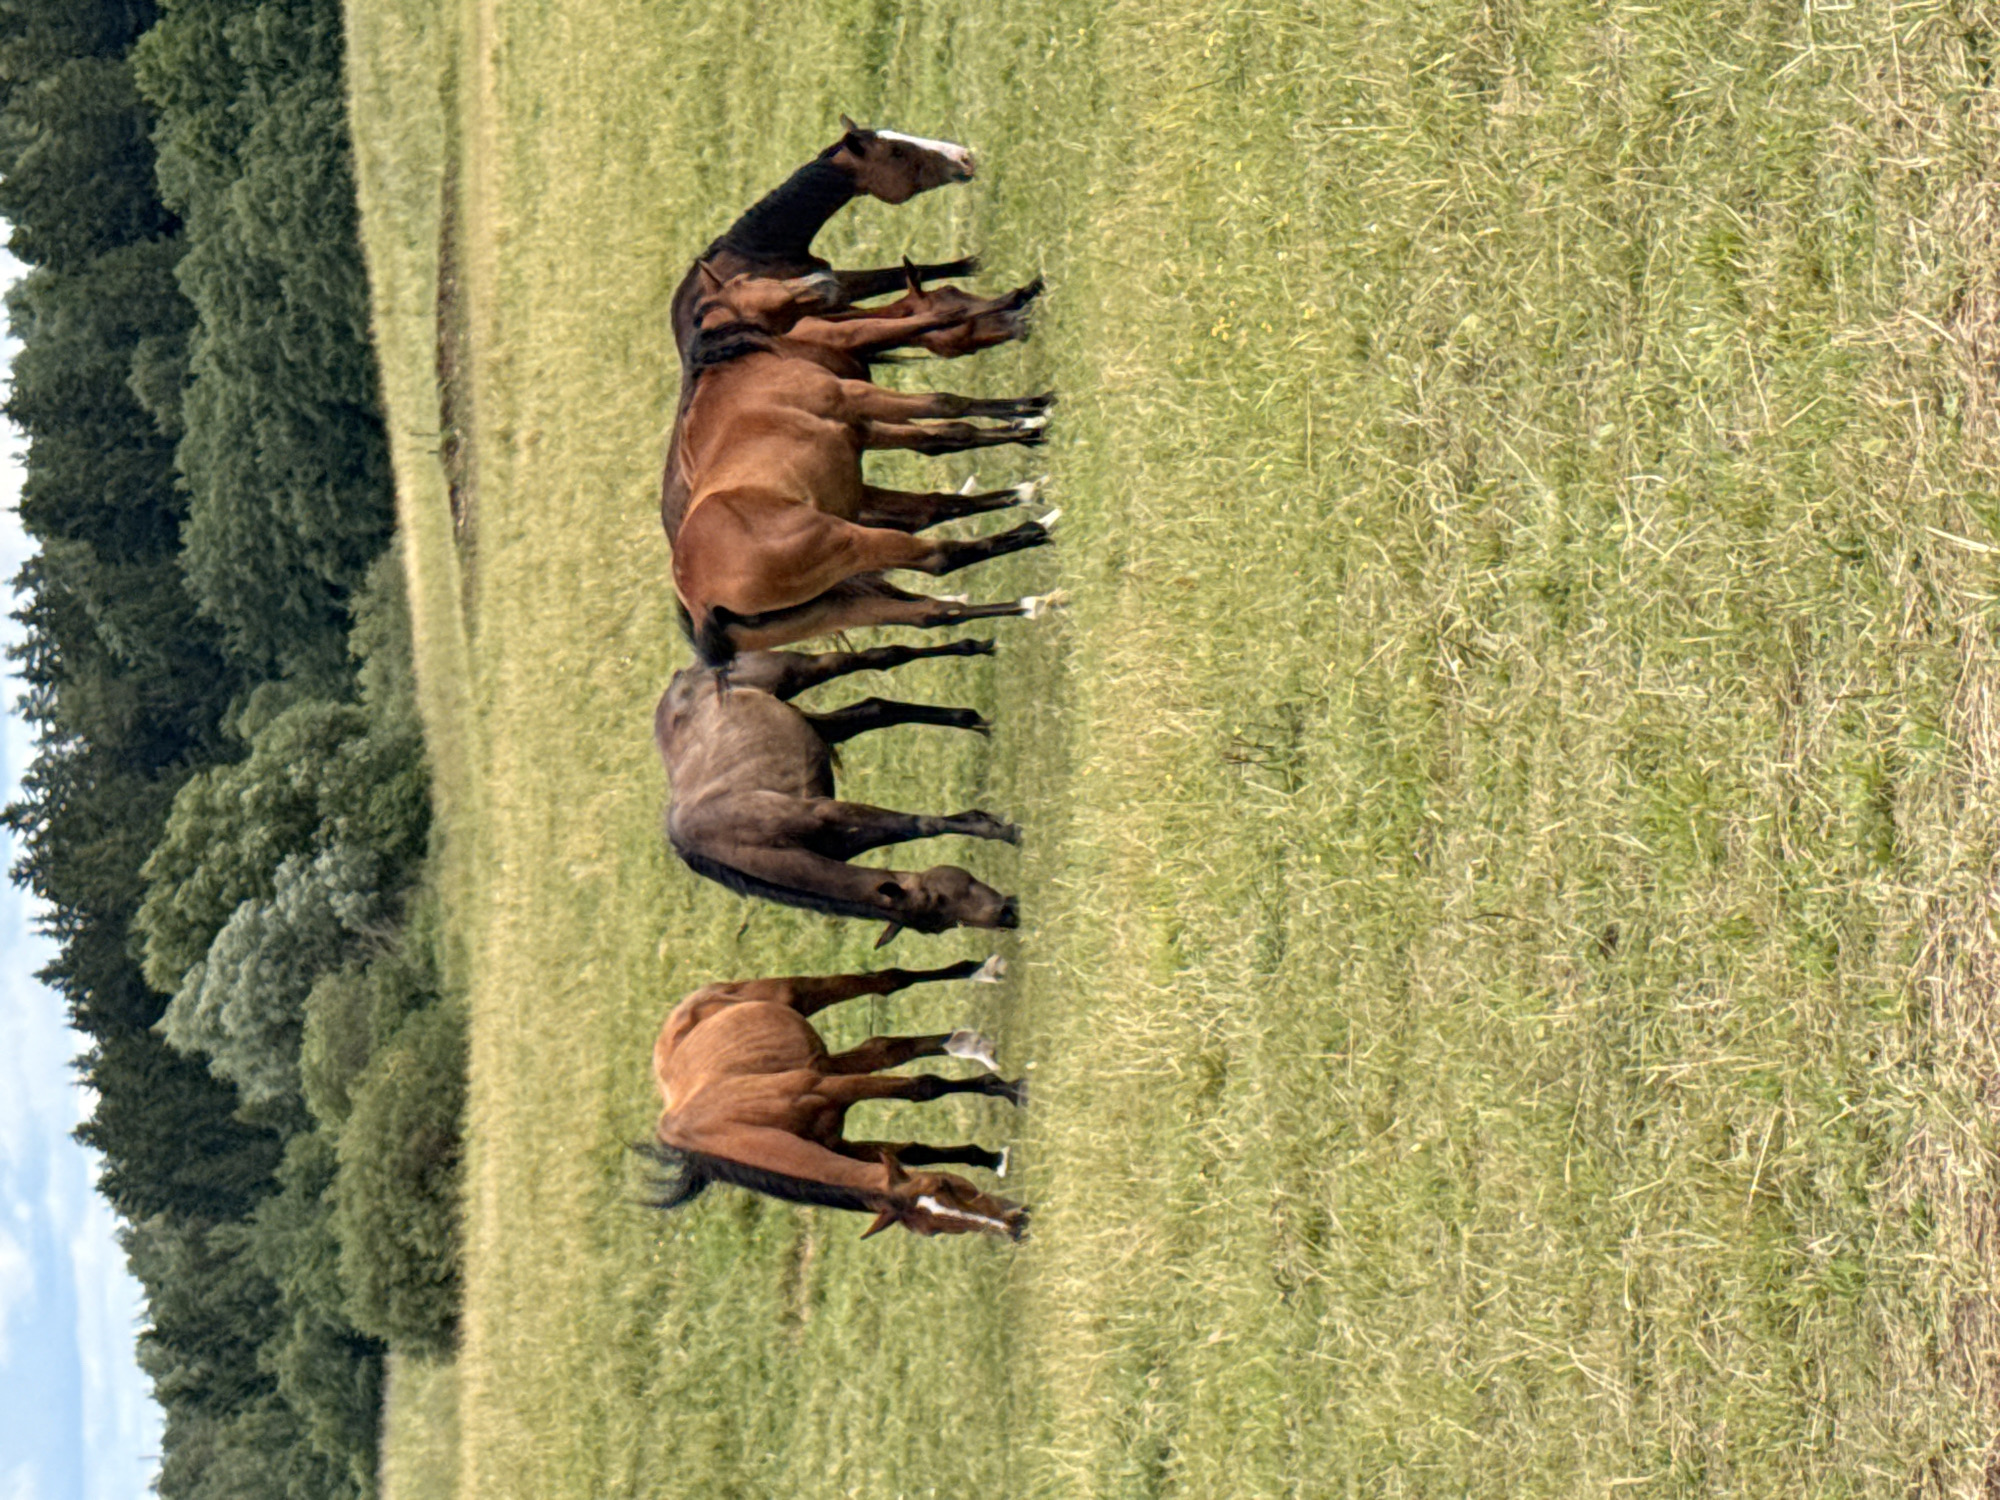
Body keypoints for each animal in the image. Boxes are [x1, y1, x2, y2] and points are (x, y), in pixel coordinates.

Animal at [639, 957, 1028, 1241]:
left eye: (948, 1185)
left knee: (887, 981)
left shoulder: (829, 1087)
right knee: (884, 1048)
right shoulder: (839, 1143)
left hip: (799, 996)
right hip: (828, 1061)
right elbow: (914, 1149)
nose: (1015, 1225)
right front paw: (991, 1156)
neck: (735, 1127)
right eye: (933, 1231)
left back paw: (979, 974)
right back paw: (967, 1042)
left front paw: (1010, 1089)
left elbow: (922, 1087)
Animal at [657, 640, 1022, 940]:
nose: (1008, 913)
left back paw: (976, 647)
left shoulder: (833, 812)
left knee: (883, 656)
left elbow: (922, 825)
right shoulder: (846, 836)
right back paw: (973, 719)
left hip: (799, 671)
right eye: (941, 917)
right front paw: (990, 822)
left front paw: (1002, 830)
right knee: (879, 708)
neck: (740, 840)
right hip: (818, 725)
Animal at [670, 266, 1061, 661]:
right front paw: (1033, 407)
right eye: (747, 280)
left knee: (929, 613)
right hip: (852, 543)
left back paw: (1024, 605)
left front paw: (1028, 426)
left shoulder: (863, 426)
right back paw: (1031, 535)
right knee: (939, 558)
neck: (740, 367)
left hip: (833, 607)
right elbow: (946, 400)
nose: (821, 279)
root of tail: (700, 603)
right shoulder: (858, 398)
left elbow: (946, 444)